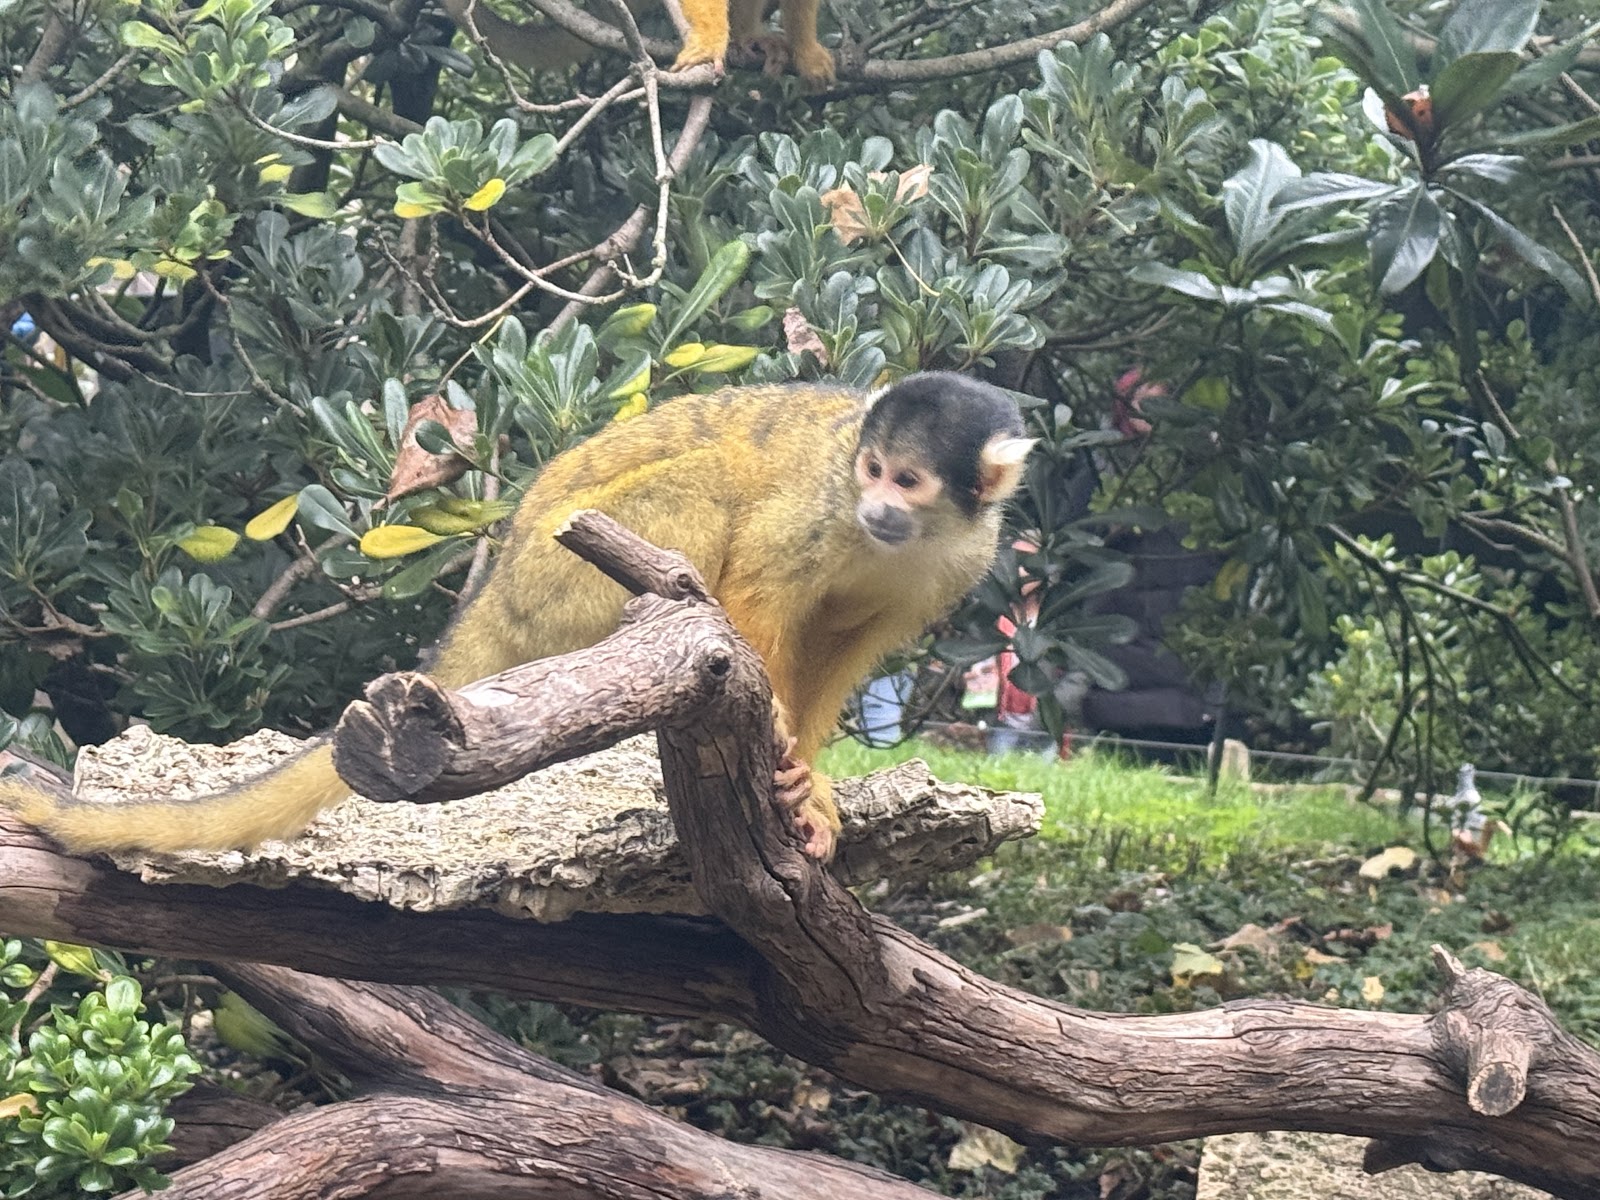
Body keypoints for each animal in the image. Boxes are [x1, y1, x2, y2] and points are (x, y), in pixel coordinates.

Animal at [1, 372, 1032, 862]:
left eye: (908, 482)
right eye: (871, 470)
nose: (878, 507)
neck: (902, 539)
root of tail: (494, 583)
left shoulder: (960, 563)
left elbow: (848, 647)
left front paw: (806, 783)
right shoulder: (819, 508)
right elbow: (762, 596)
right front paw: (776, 735)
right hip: (564, 576)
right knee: (707, 492)